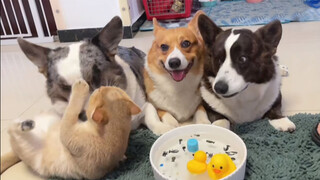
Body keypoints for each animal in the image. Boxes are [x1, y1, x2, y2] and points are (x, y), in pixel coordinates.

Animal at [1, 79, 141, 179]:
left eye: (100, 91)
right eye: (107, 88)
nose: (100, 86)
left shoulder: (67, 132)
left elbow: (72, 109)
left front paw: (79, 87)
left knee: (11, 129)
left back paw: (26, 124)